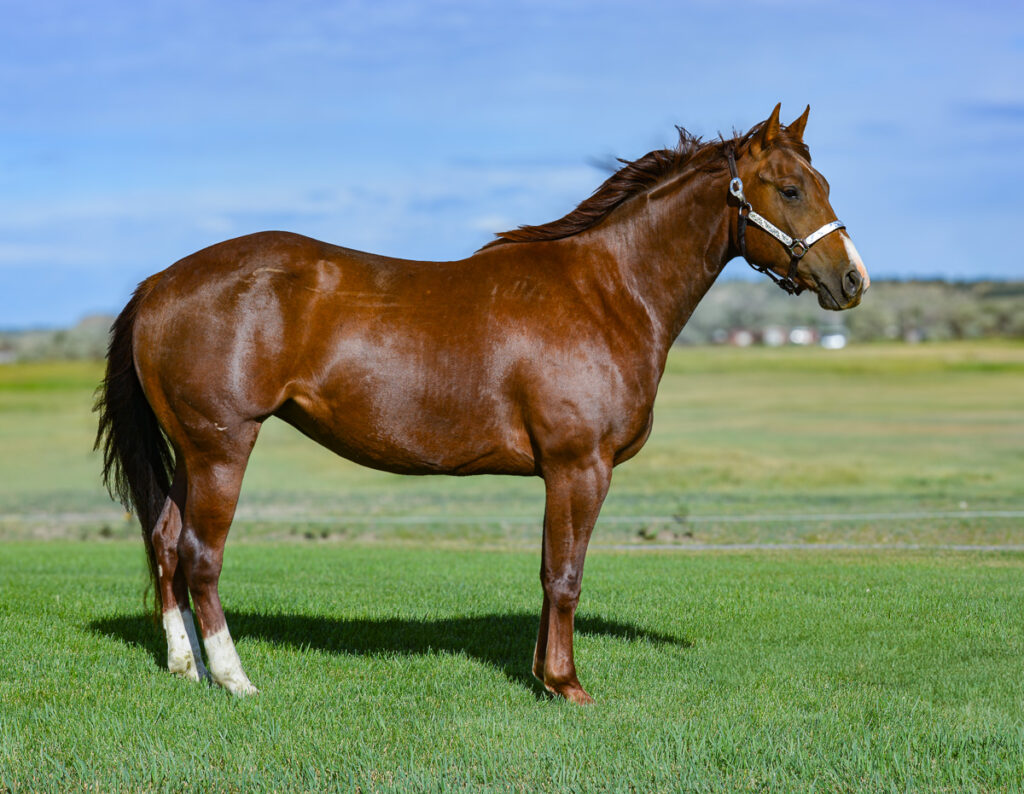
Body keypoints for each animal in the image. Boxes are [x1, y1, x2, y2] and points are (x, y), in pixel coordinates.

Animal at [96, 103, 868, 700]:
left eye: (822, 182)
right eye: (789, 189)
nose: (852, 280)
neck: (605, 291)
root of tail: (161, 282)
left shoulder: (561, 474)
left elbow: (547, 573)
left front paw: (541, 674)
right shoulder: (580, 467)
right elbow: (567, 576)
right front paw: (567, 685)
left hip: (191, 453)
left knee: (164, 543)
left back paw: (184, 667)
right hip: (222, 446)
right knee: (200, 555)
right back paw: (234, 678)